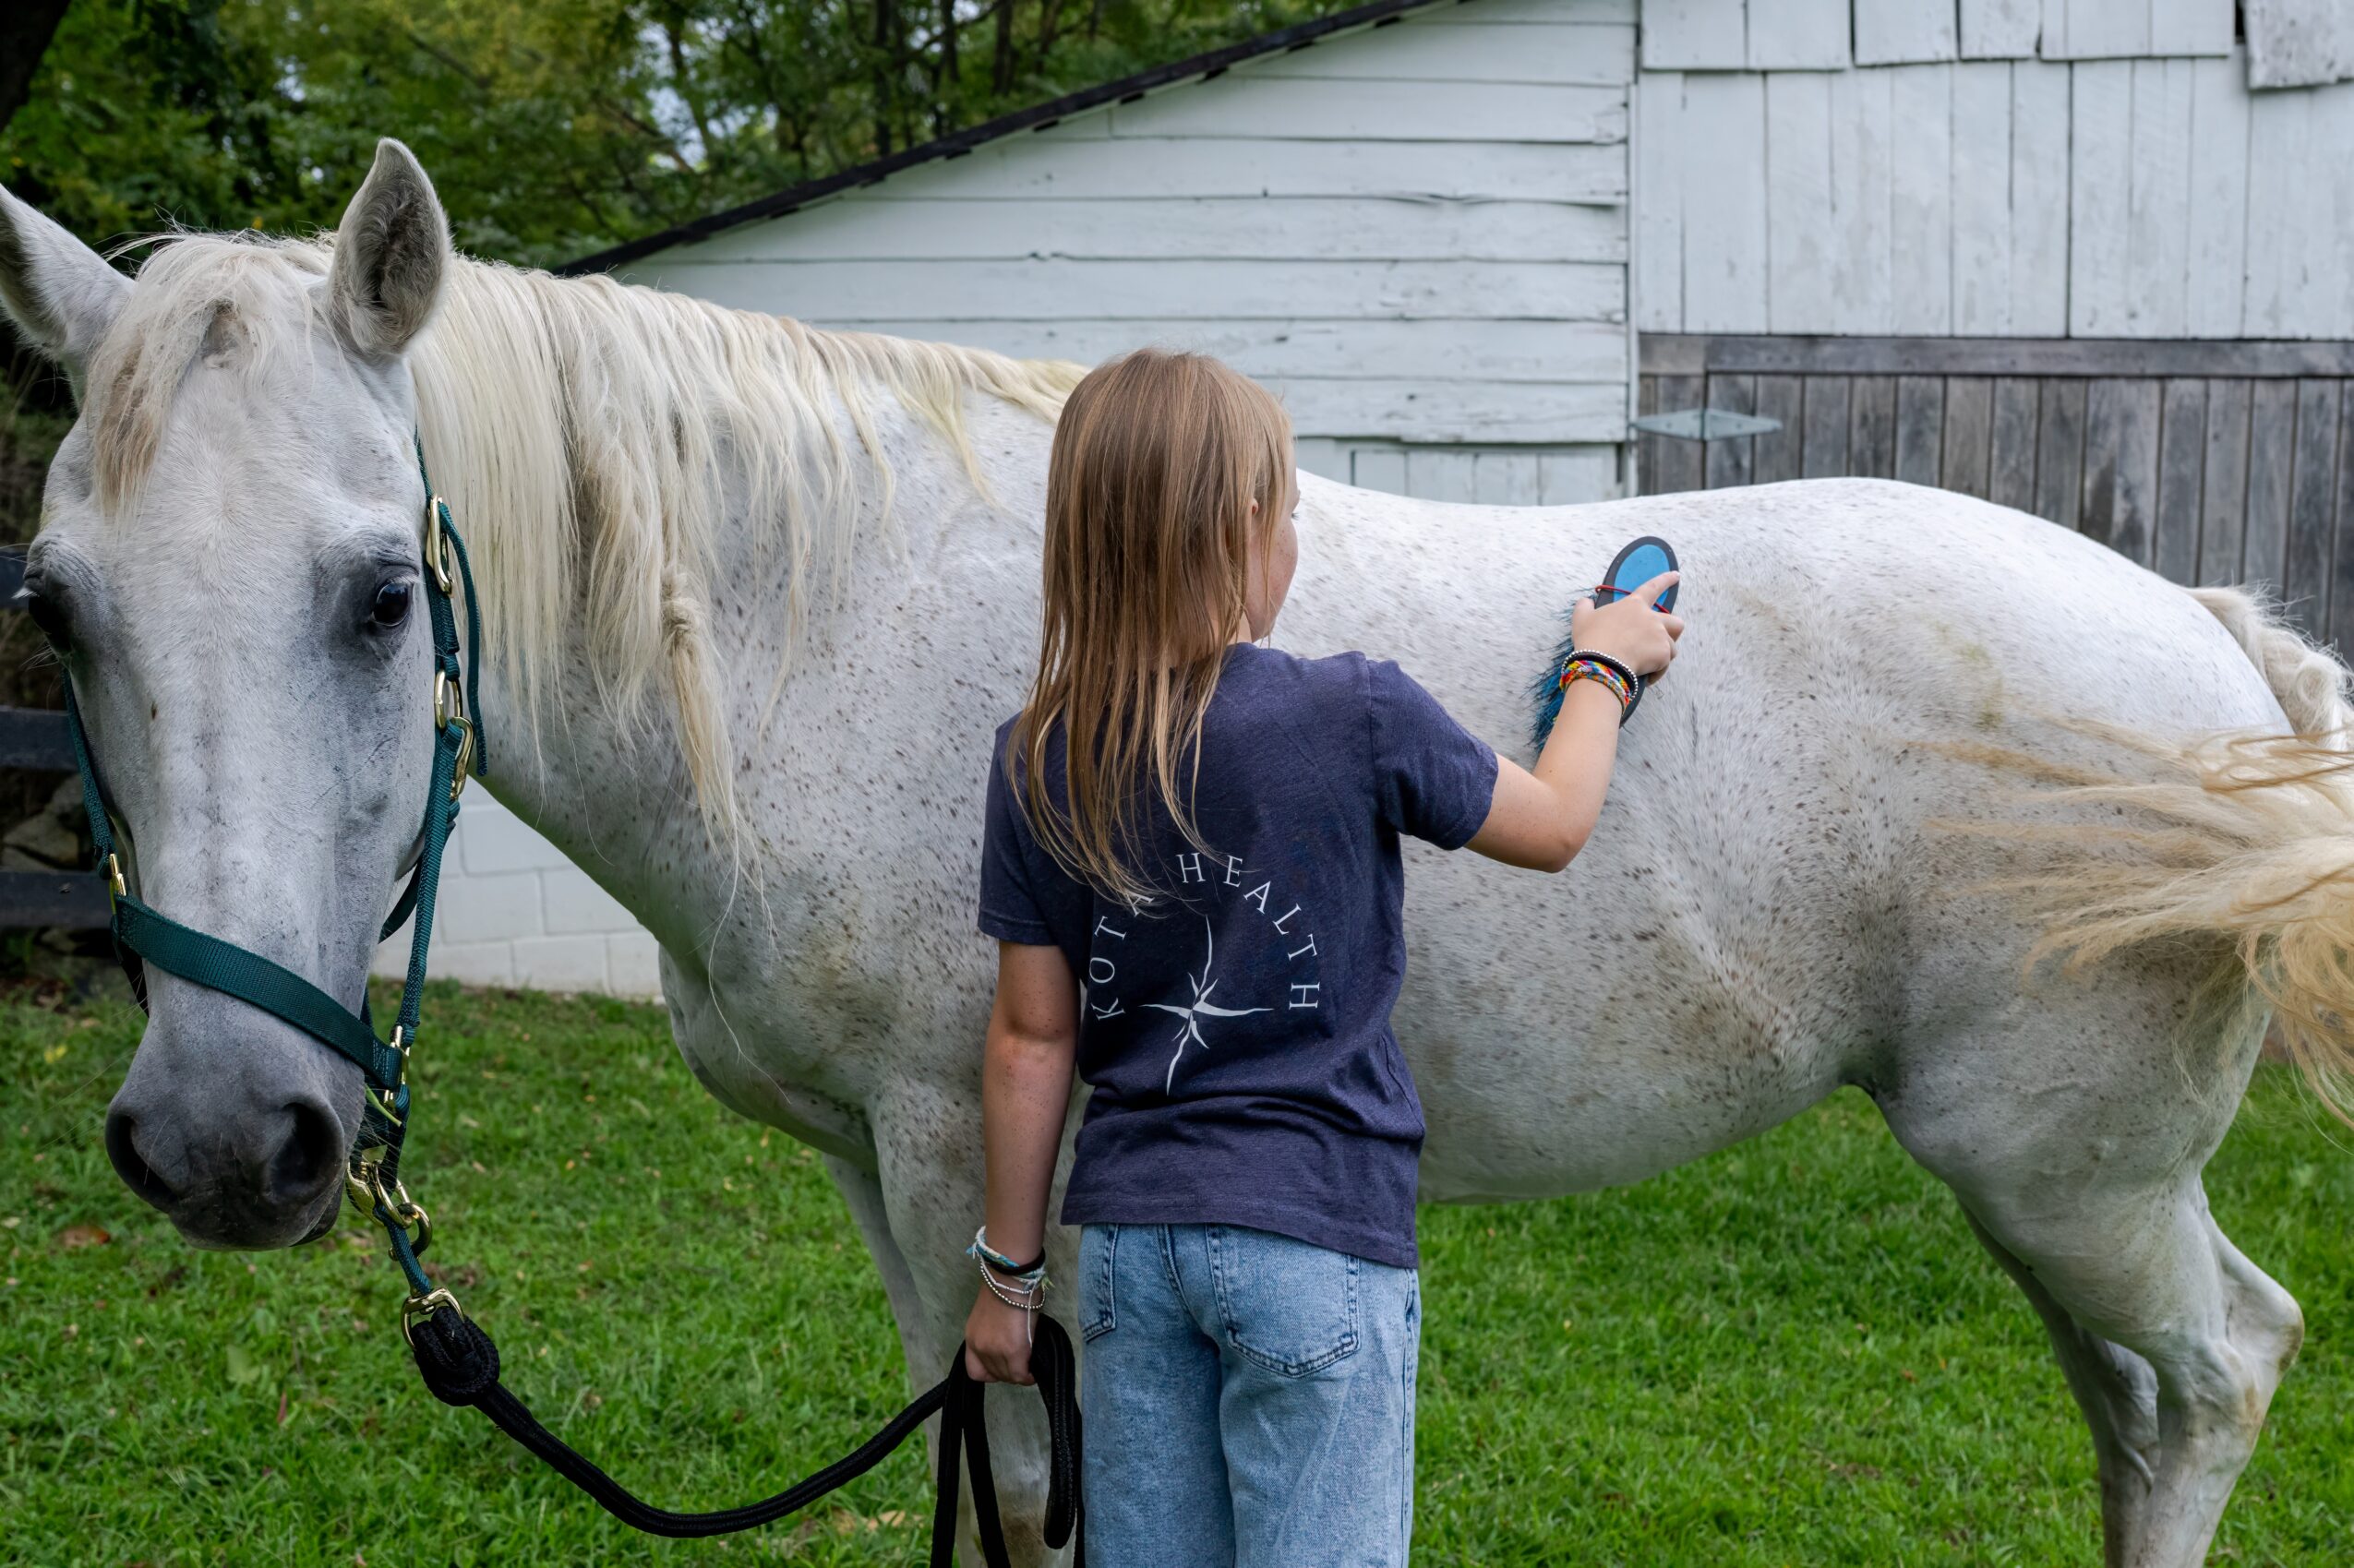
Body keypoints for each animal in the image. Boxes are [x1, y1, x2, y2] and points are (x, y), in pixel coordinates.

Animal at [5, 139, 2351, 1568]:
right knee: (2146, 1396)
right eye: (56, 603)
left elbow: (1042, 1490)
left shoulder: (976, 1164)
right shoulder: (897, 1187)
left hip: (2063, 1170)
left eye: (377, 595)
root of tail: (2209, 641)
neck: (800, 627)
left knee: (2207, 1374)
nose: (223, 1137)